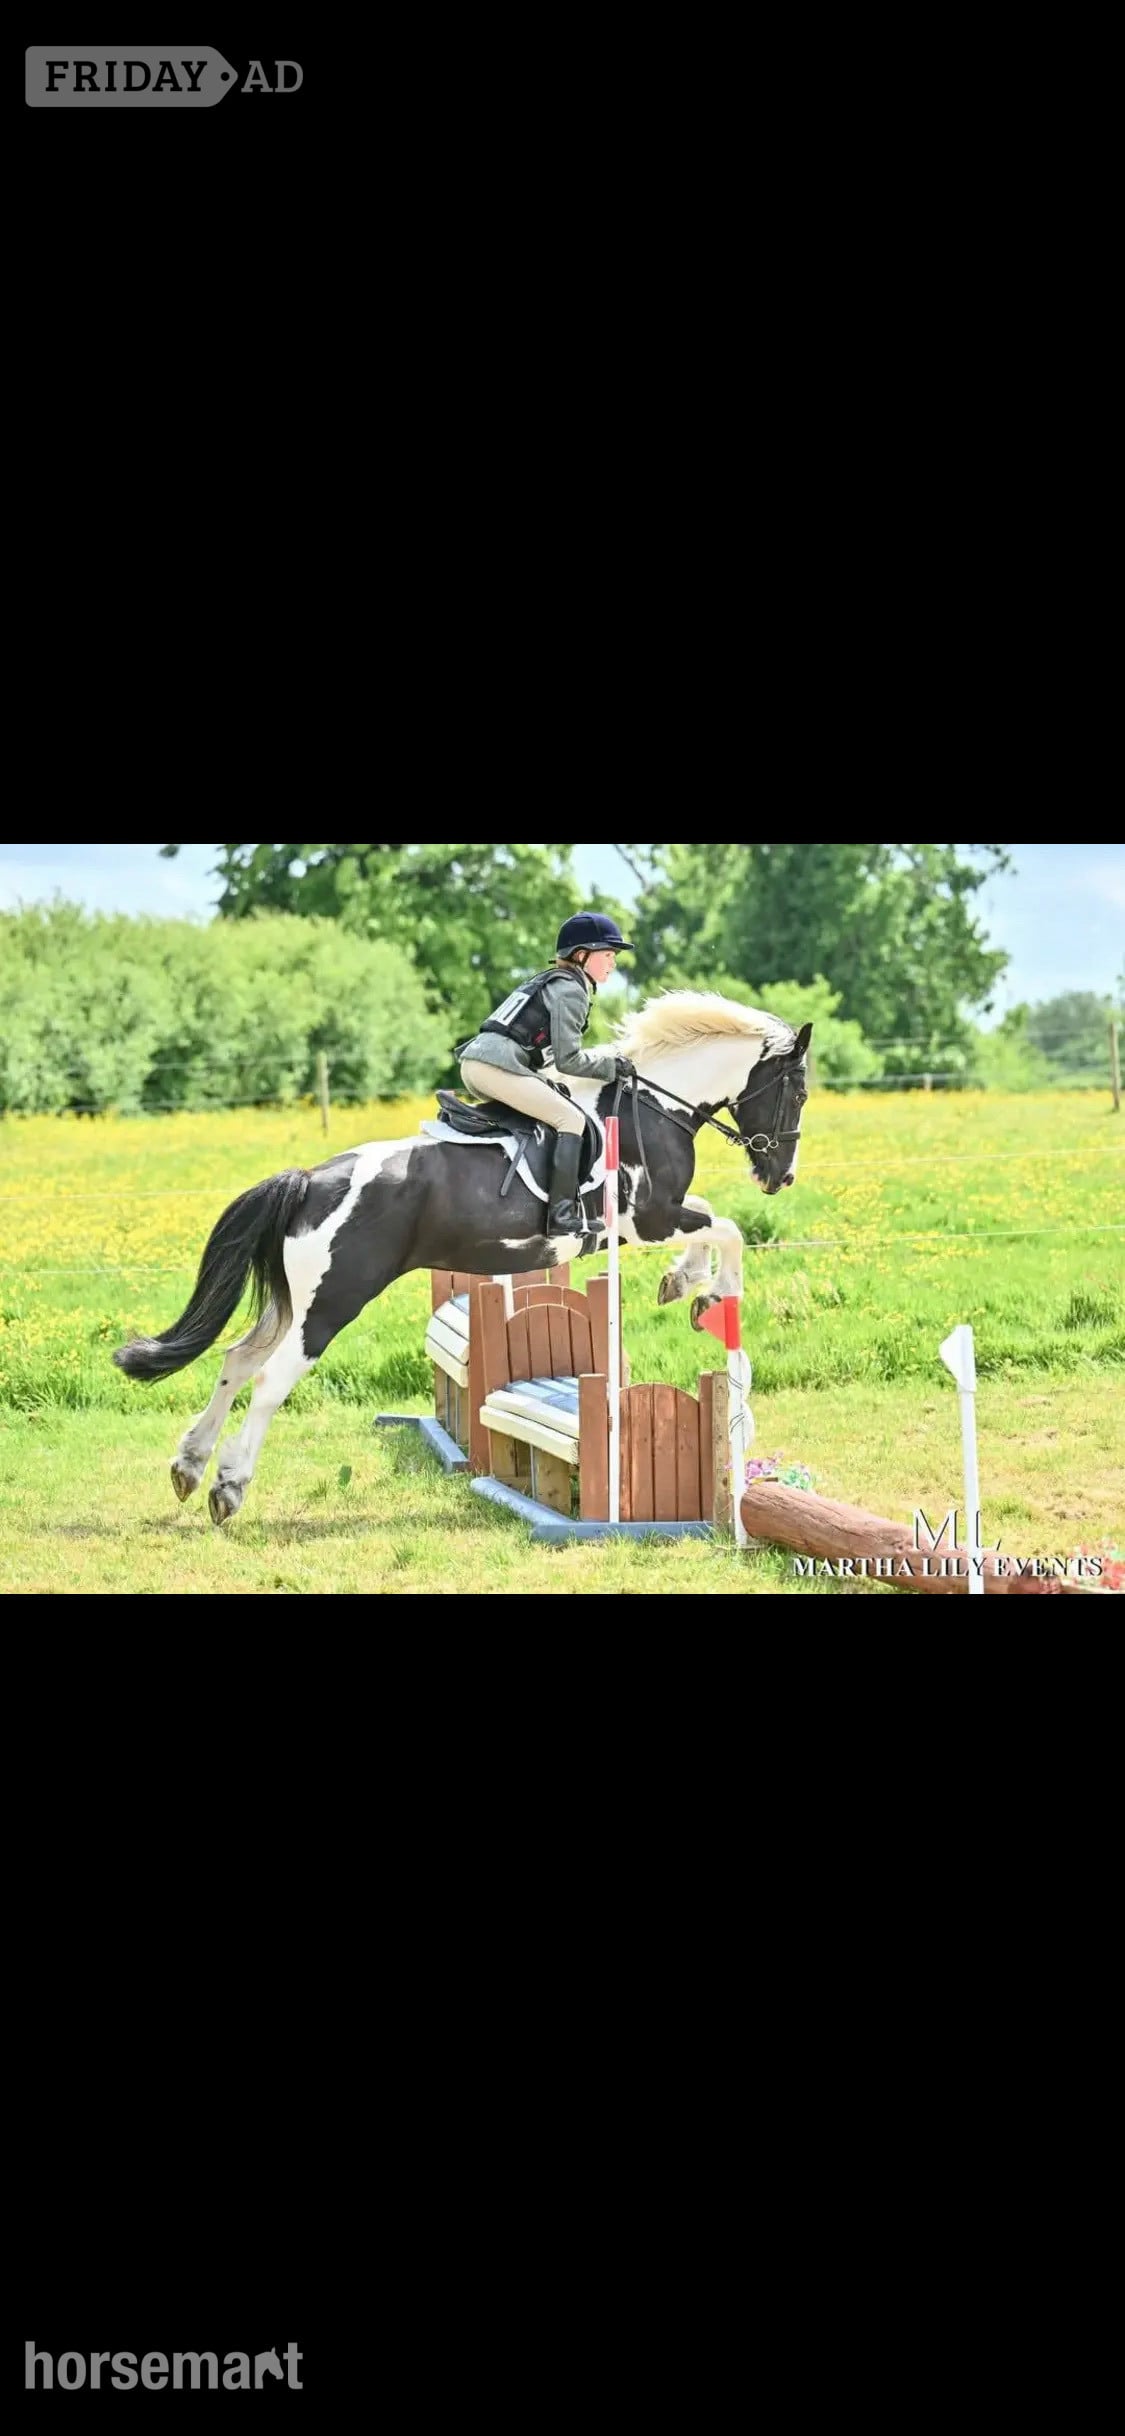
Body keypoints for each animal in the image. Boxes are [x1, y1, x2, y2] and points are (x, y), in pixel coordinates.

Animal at [113, 992, 811, 1523]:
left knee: (237, 1361)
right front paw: (707, 1291)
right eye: (798, 1093)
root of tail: (310, 1181)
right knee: (271, 1378)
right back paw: (229, 1489)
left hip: (297, 1298)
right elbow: (729, 1229)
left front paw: (685, 1284)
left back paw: (189, 1467)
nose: (780, 1178)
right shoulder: (649, 1218)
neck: (656, 1105)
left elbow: (716, 1220)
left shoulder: (654, 1218)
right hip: (334, 1299)